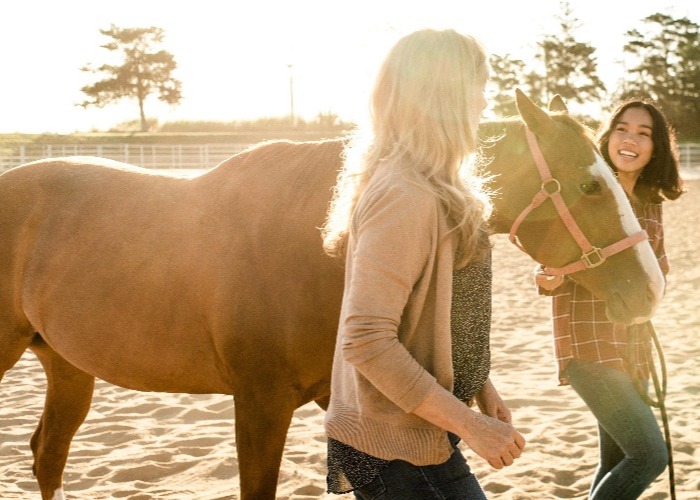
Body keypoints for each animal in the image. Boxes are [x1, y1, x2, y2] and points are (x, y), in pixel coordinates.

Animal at [0, 92, 660, 498]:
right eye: (589, 186)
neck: (324, 239)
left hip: (67, 365)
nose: (650, 288)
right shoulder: (259, 404)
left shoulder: (332, 399)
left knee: (47, 454)